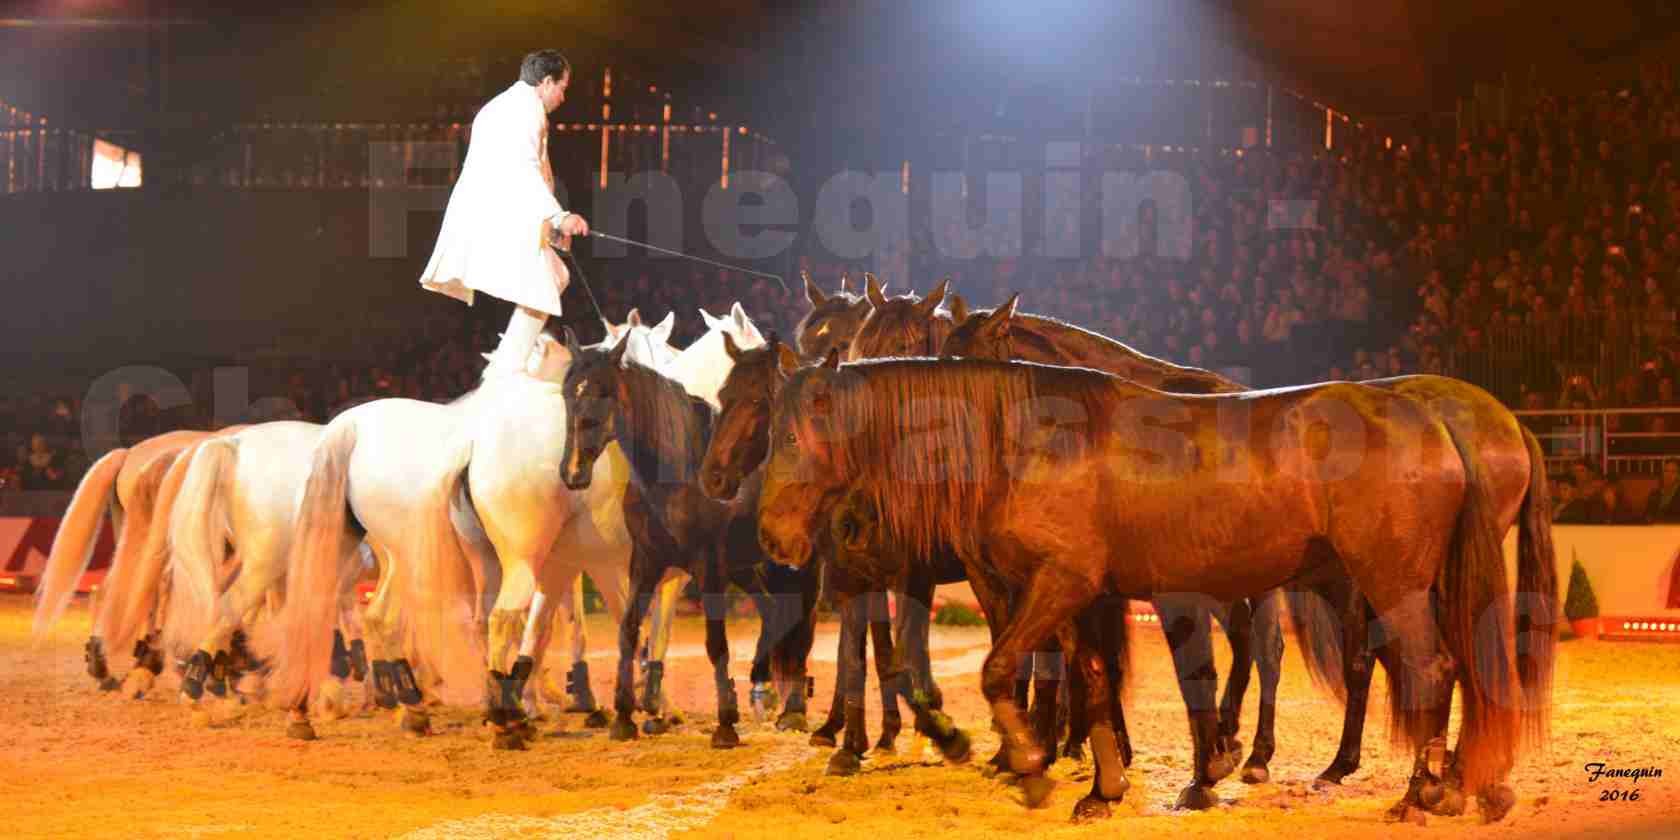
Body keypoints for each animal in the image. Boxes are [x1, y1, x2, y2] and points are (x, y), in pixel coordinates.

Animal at [557, 327, 819, 749]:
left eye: (603, 391)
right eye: (567, 393)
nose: (573, 471)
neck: (676, 474)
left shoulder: (708, 566)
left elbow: (715, 643)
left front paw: (725, 725)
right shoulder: (646, 562)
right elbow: (628, 631)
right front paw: (624, 717)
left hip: (799, 566)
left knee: (800, 624)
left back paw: (792, 708)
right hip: (745, 567)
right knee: (774, 613)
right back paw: (764, 692)